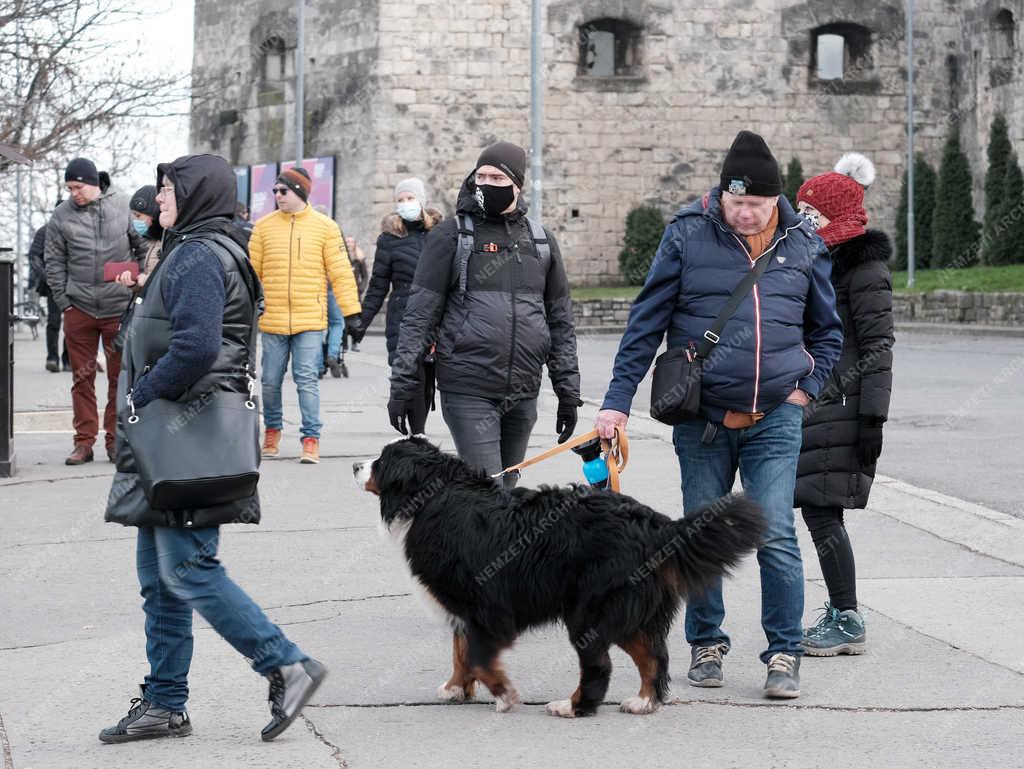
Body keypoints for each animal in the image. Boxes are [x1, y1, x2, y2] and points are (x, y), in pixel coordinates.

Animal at [352, 436, 761, 720]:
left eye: (382, 460)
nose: (355, 464)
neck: (433, 496)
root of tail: (655, 524)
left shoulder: (484, 604)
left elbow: (478, 655)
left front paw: (503, 694)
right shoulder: (462, 607)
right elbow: (460, 651)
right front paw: (455, 688)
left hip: (589, 609)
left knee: (601, 665)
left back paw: (573, 707)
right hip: (631, 610)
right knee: (653, 657)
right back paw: (643, 702)